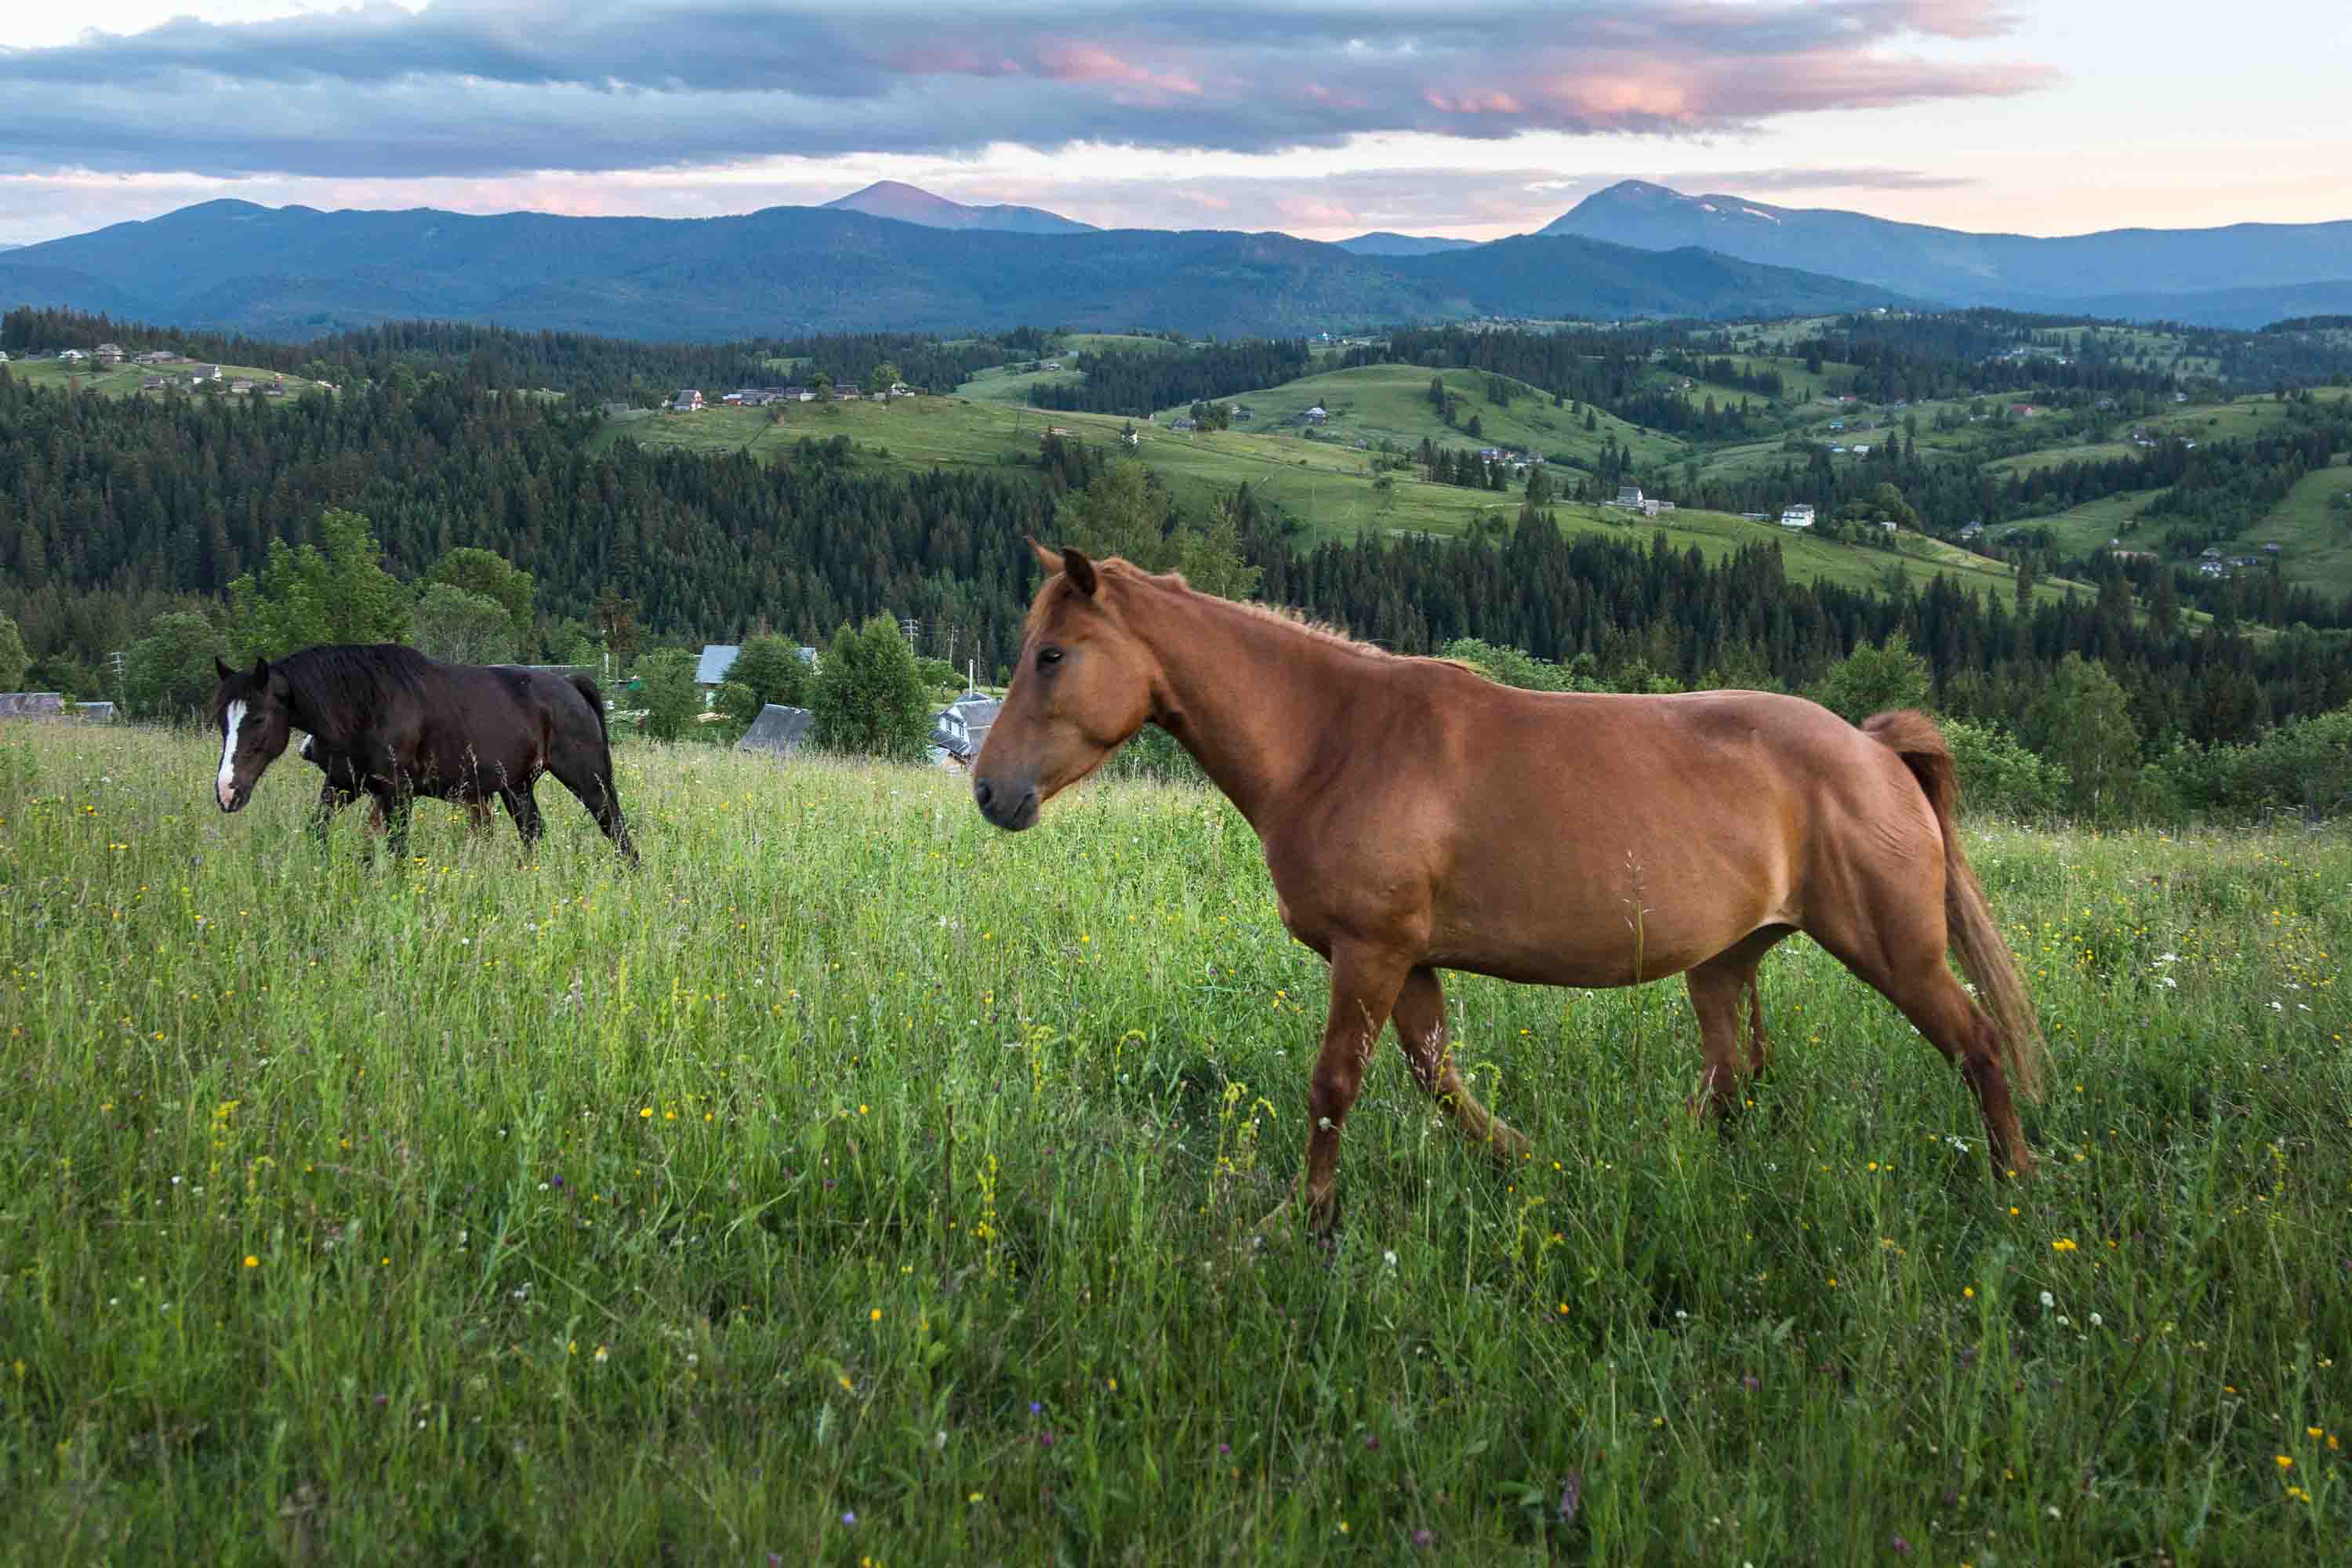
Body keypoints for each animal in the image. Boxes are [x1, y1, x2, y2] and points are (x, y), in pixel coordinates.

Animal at [971, 542, 2047, 1236]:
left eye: (1053, 654)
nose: (990, 789)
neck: (1331, 739)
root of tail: (1874, 749)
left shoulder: (1371, 950)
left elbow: (1334, 1085)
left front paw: (1308, 1216)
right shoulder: (1408, 961)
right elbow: (1437, 1077)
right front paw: (1527, 1161)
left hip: (1894, 949)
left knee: (1977, 1044)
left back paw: (2015, 1186)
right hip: (1723, 960)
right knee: (1728, 1073)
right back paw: (1658, 1165)